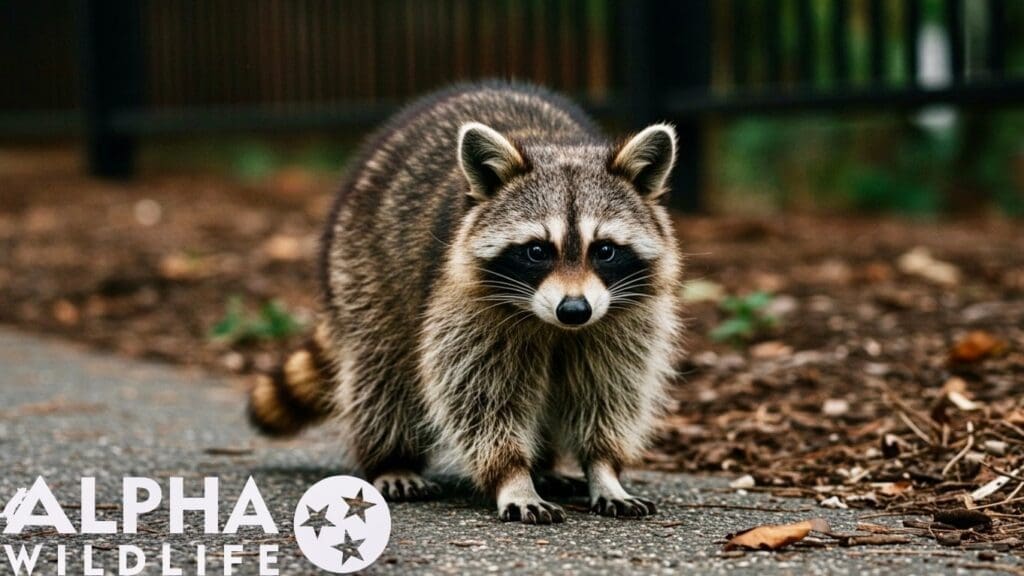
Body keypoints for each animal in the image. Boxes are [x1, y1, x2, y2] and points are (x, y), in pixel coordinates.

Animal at [248, 82, 683, 524]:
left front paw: (603, 468)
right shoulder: (465, 306)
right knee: (383, 371)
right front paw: (512, 475)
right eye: (537, 251)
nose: (574, 311)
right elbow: (480, 396)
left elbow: (610, 390)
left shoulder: (621, 317)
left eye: (605, 250)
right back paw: (392, 459)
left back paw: (545, 466)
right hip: (362, 264)